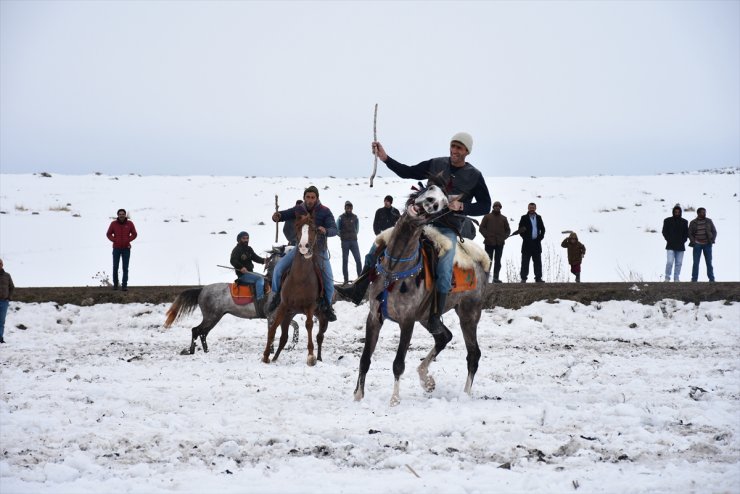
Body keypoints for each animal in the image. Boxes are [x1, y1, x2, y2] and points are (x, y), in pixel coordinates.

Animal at [165, 246, 298, 356]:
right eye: (289, 250)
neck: (274, 284)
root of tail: (202, 289)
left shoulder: (280, 316)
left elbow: (295, 326)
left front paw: (292, 345)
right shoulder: (271, 316)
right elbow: (272, 333)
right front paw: (271, 351)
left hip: (214, 317)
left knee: (203, 333)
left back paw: (205, 350)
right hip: (211, 316)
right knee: (196, 330)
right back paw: (193, 350)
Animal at [262, 213, 328, 366]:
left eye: (314, 229)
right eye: (297, 228)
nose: (304, 246)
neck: (300, 278)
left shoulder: (310, 307)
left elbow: (309, 325)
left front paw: (311, 356)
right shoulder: (283, 306)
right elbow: (273, 328)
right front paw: (266, 355)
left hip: (323, 317)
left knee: (320, 336)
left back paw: (319, 358)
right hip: (289, 315)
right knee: (284, 338)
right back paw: (275, 357)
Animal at [354, 182, 488, 406]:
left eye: (444, 204)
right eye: (431, 187)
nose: (431, 203)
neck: (394, 267)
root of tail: (479, 262)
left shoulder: (407, 321)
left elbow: (398, 363)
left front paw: (394, 400)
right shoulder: (374, 317)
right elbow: (365, 359)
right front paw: (357, 397)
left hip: (469, 313)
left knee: (473, 354)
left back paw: (465, 394)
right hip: (427, 316)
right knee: (444, 337)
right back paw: (426, 379)